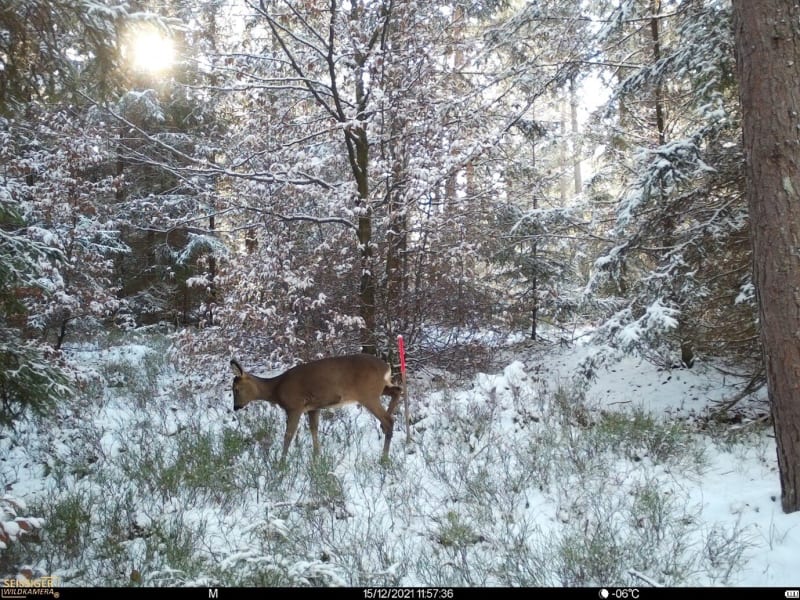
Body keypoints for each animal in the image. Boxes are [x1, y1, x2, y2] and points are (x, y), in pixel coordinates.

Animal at [230, 354, 403, 463]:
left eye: (236, 389)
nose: (236, 407)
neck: (277, 389)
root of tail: (386, 367)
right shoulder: (313, 407)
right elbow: (313, 429)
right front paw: (317, 457)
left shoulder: (295, 406)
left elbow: (288, 435)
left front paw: (281, 463)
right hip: (378, 389)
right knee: (398, 390)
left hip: (368, 394)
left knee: (389, 420)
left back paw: (383, 458)